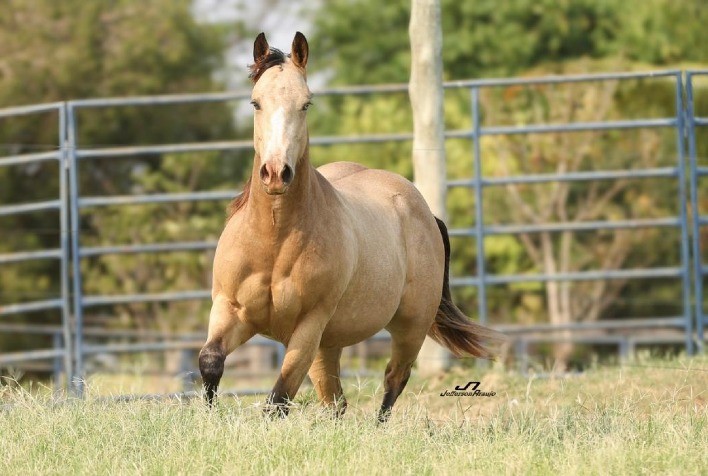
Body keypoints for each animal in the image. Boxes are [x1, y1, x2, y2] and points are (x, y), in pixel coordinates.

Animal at [198, 31, 504, 422]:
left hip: (410, 327)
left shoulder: (308, 326)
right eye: (255, 103)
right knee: (335, 399)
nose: (276, 173)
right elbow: (211, 361)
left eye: (306, 104)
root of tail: (424, 212)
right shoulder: (230, 309)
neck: (273, 241)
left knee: (393, 379)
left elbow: (279, 397)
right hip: (330, 344)